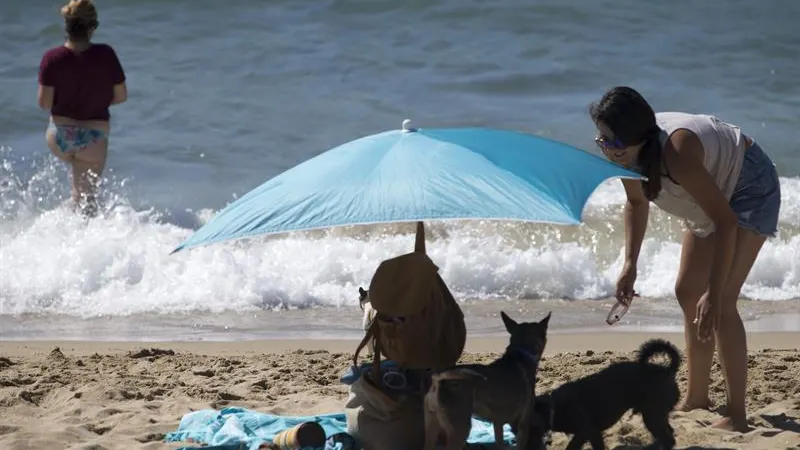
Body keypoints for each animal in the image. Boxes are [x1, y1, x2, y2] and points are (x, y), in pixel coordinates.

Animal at [424, 312, 552, 450]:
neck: (521, 354)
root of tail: (438, 380)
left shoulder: (498, 422)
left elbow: (500, 442)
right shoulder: (522, 425)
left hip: (431, 426)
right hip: (459, 428)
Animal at [528, 340, 680, 448]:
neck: (554, 407)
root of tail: (667, 372)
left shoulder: (586, 431)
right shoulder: (594, 434)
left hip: (652, 416)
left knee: (668, 439)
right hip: (657, 415)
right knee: (669, 433)